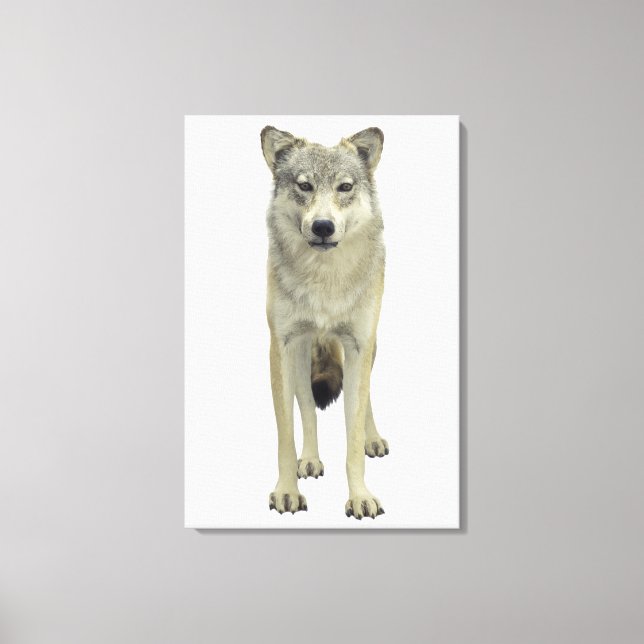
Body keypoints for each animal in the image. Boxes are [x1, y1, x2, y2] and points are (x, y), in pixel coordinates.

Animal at [261, 125, 389, 520]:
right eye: (304, 186)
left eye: (344, 187)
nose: (322, 226)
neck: (324, 280)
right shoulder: (282, 347)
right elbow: (286, 436)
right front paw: (287, 491)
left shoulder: (359, 345)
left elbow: (352, 436)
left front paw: (360, 496)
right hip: (302, 354)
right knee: (307, 408)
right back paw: (311, 460)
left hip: (367, 349)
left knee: (367, 396)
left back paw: (373, 439)